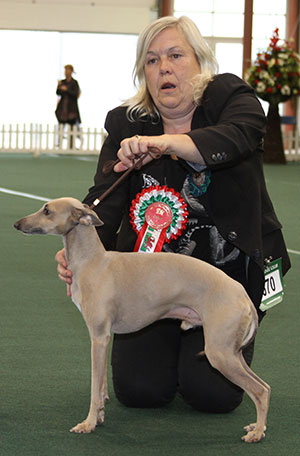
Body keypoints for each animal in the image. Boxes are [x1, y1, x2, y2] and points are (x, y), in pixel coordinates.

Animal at [13, 199, 270, 442]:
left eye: (47, 210)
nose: (17, 224)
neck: (93, 261)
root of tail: (242, 294)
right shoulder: (104, 339)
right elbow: (102, 385)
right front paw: (100, 415)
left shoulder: (98, 337)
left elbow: (95, 387)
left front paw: (88, 423)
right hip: (232, 352)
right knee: (265, 386)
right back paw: (257, 427)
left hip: (219, 354)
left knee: (259, 391)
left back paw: (257, 433)